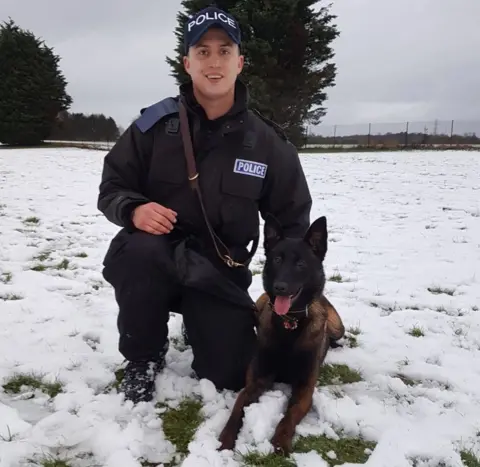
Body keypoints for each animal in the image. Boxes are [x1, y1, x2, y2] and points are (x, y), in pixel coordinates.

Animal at [218, 215, 344, 458]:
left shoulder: (305, 389)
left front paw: (280, 443)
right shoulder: (257, 378)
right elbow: (238, 406)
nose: (280, 287)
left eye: (301, 264)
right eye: (277, 259)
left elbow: (289, 416)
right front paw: (226, 440)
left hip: (337, 326)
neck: (290, 325)